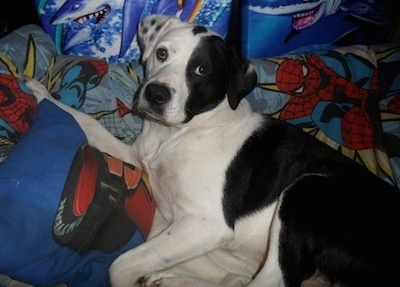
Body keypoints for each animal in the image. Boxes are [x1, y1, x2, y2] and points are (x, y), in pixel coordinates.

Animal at [26, 15, 400, 287]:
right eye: (162, 53)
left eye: (201, 70)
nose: (156, 94)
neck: (178, 133)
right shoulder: (136, 159)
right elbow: (86, 123)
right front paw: (37, 91)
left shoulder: (208, 224)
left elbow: (122, 265)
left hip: (305, 191)